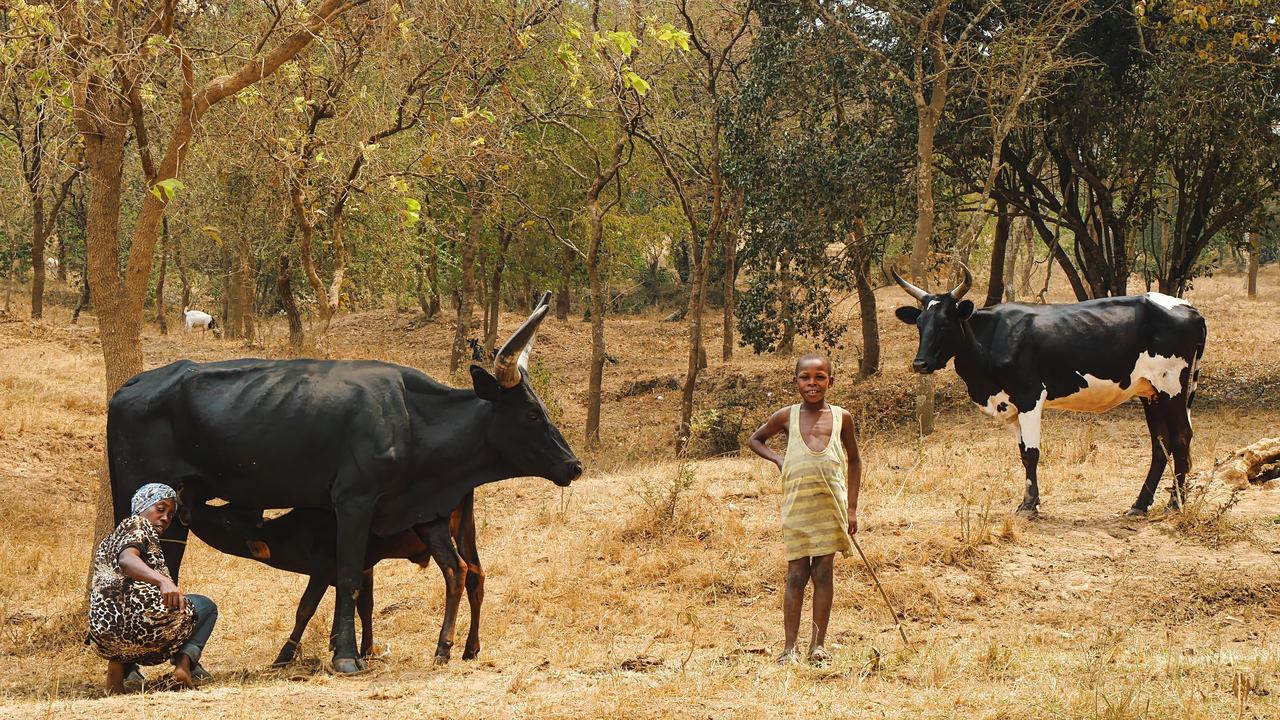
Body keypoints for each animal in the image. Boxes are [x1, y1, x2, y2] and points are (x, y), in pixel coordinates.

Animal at [184, 492, 483, 666]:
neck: (299, 530)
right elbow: (363, 604)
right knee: (476, 577)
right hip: (466, 529)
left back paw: (443, 649)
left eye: (227, 521)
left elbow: (306, 608)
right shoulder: (361, 567)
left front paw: (284, 655)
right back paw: (471, 648)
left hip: (435, 529)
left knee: (456, 571)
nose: (189, 510)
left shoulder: (323, 568)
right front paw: (361, 648)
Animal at [892, 266, 1206, 518]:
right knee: (1160, 444)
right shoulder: (1011, 404)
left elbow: (1032, 453)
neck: (991, 339)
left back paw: (1174, 504)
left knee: (1181, 437)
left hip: (1172, 388)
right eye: (919, 324)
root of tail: (1189, 308)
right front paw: (1029, 502)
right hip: (1151, 392)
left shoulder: (1029, 397)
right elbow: (1022, 453)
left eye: (945, 323)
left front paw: (1029, 506)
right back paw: (1140, 505)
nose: (920, 363)